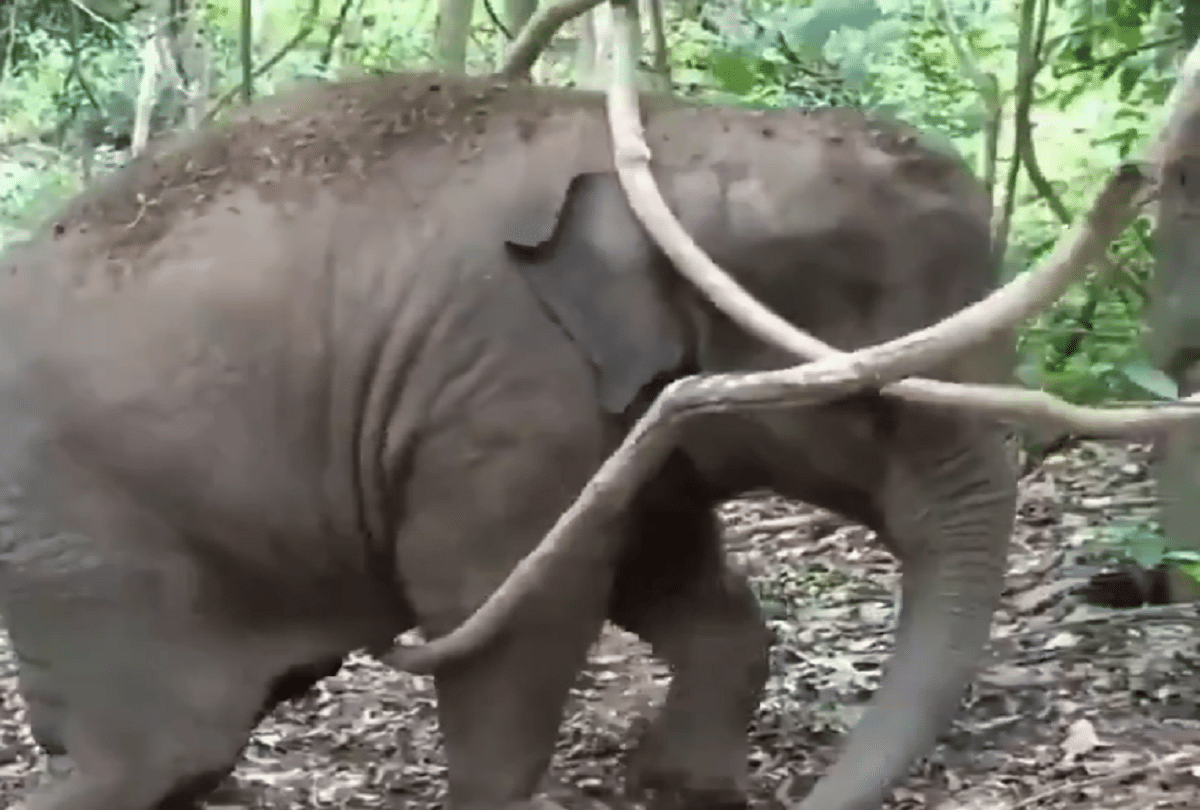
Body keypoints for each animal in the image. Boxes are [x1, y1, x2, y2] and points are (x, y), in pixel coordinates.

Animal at [0, 71, 1017, 810]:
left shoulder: (627, 425)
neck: (671, 146)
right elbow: (511, 611)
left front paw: (686, 788)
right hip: (91, 545)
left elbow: (675, 580)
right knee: (163, 750)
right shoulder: (504, 390)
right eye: (875, 405)